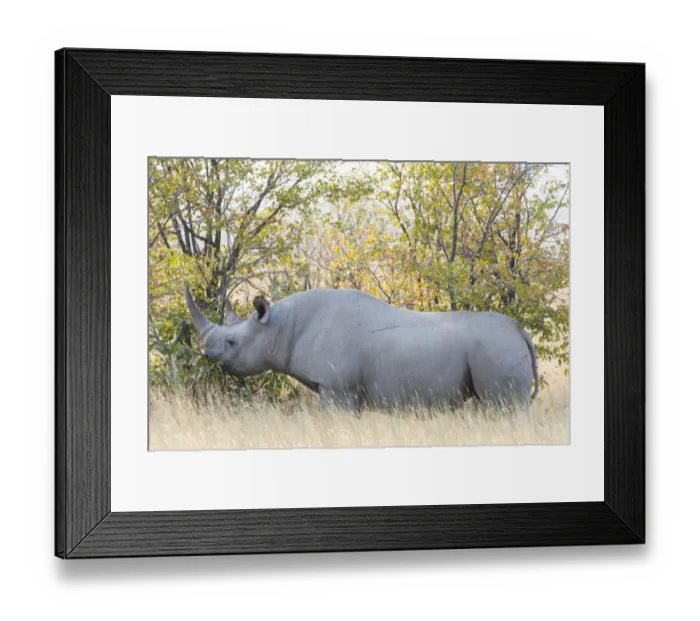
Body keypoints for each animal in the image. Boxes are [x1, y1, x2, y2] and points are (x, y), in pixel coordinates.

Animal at [185, 285, 539, 411]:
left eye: (231, 343)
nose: (206, 354)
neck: (278, 328)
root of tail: (519, 331)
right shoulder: (341, 389)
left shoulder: (337, 389)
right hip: (496, 347)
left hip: (495, 349)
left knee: (506, 407)